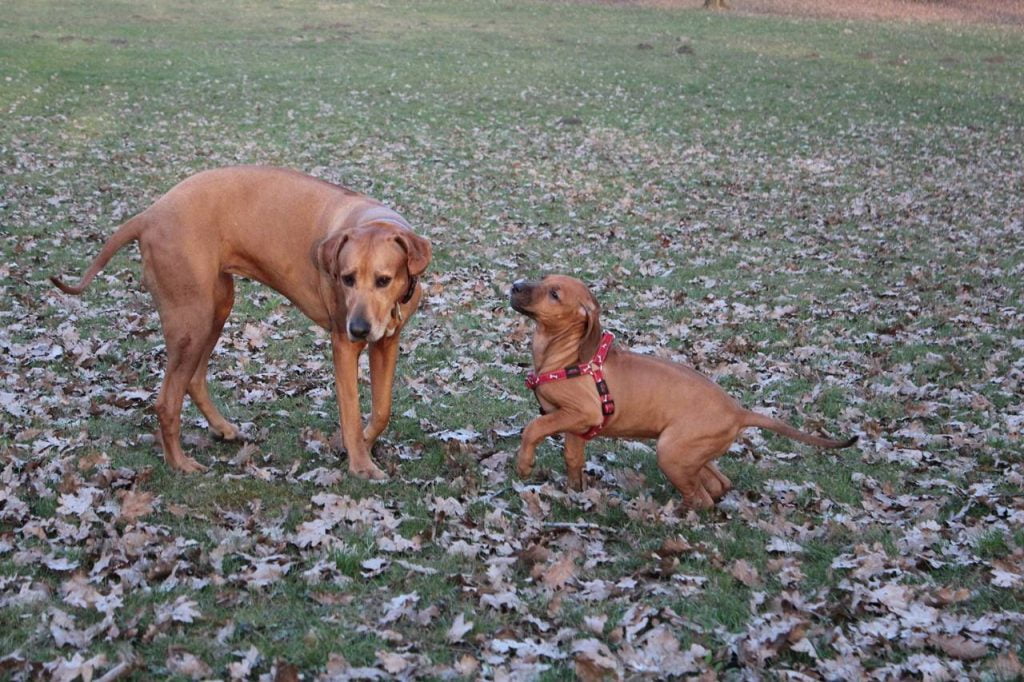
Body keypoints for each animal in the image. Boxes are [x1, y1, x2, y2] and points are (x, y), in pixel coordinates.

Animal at [50, 164, 432, 475]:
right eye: (347, 278)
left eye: (383, 280)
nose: (359, 329)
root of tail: (150, 213)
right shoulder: (343, 345)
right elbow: (351, 412)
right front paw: (361, 464)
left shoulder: (388, 342)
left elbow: (382, 410)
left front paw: (363, 443)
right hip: (192, 317)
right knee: (166, 401)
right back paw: (179, 463)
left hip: (215, 308)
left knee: (193, 379)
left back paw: (221, 428)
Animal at [509, 274, 856, 507]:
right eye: (543, 279)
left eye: (554, 294)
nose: (514, 285)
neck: (565, 354)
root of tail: (738, 411)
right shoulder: (576, 424)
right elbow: (572, 458)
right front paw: (574, 492)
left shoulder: (583, 412)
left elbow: (533, 427)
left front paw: (524, 465)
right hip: (691, 451)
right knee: (718, 484)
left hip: (671, 452)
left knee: (702, 498)